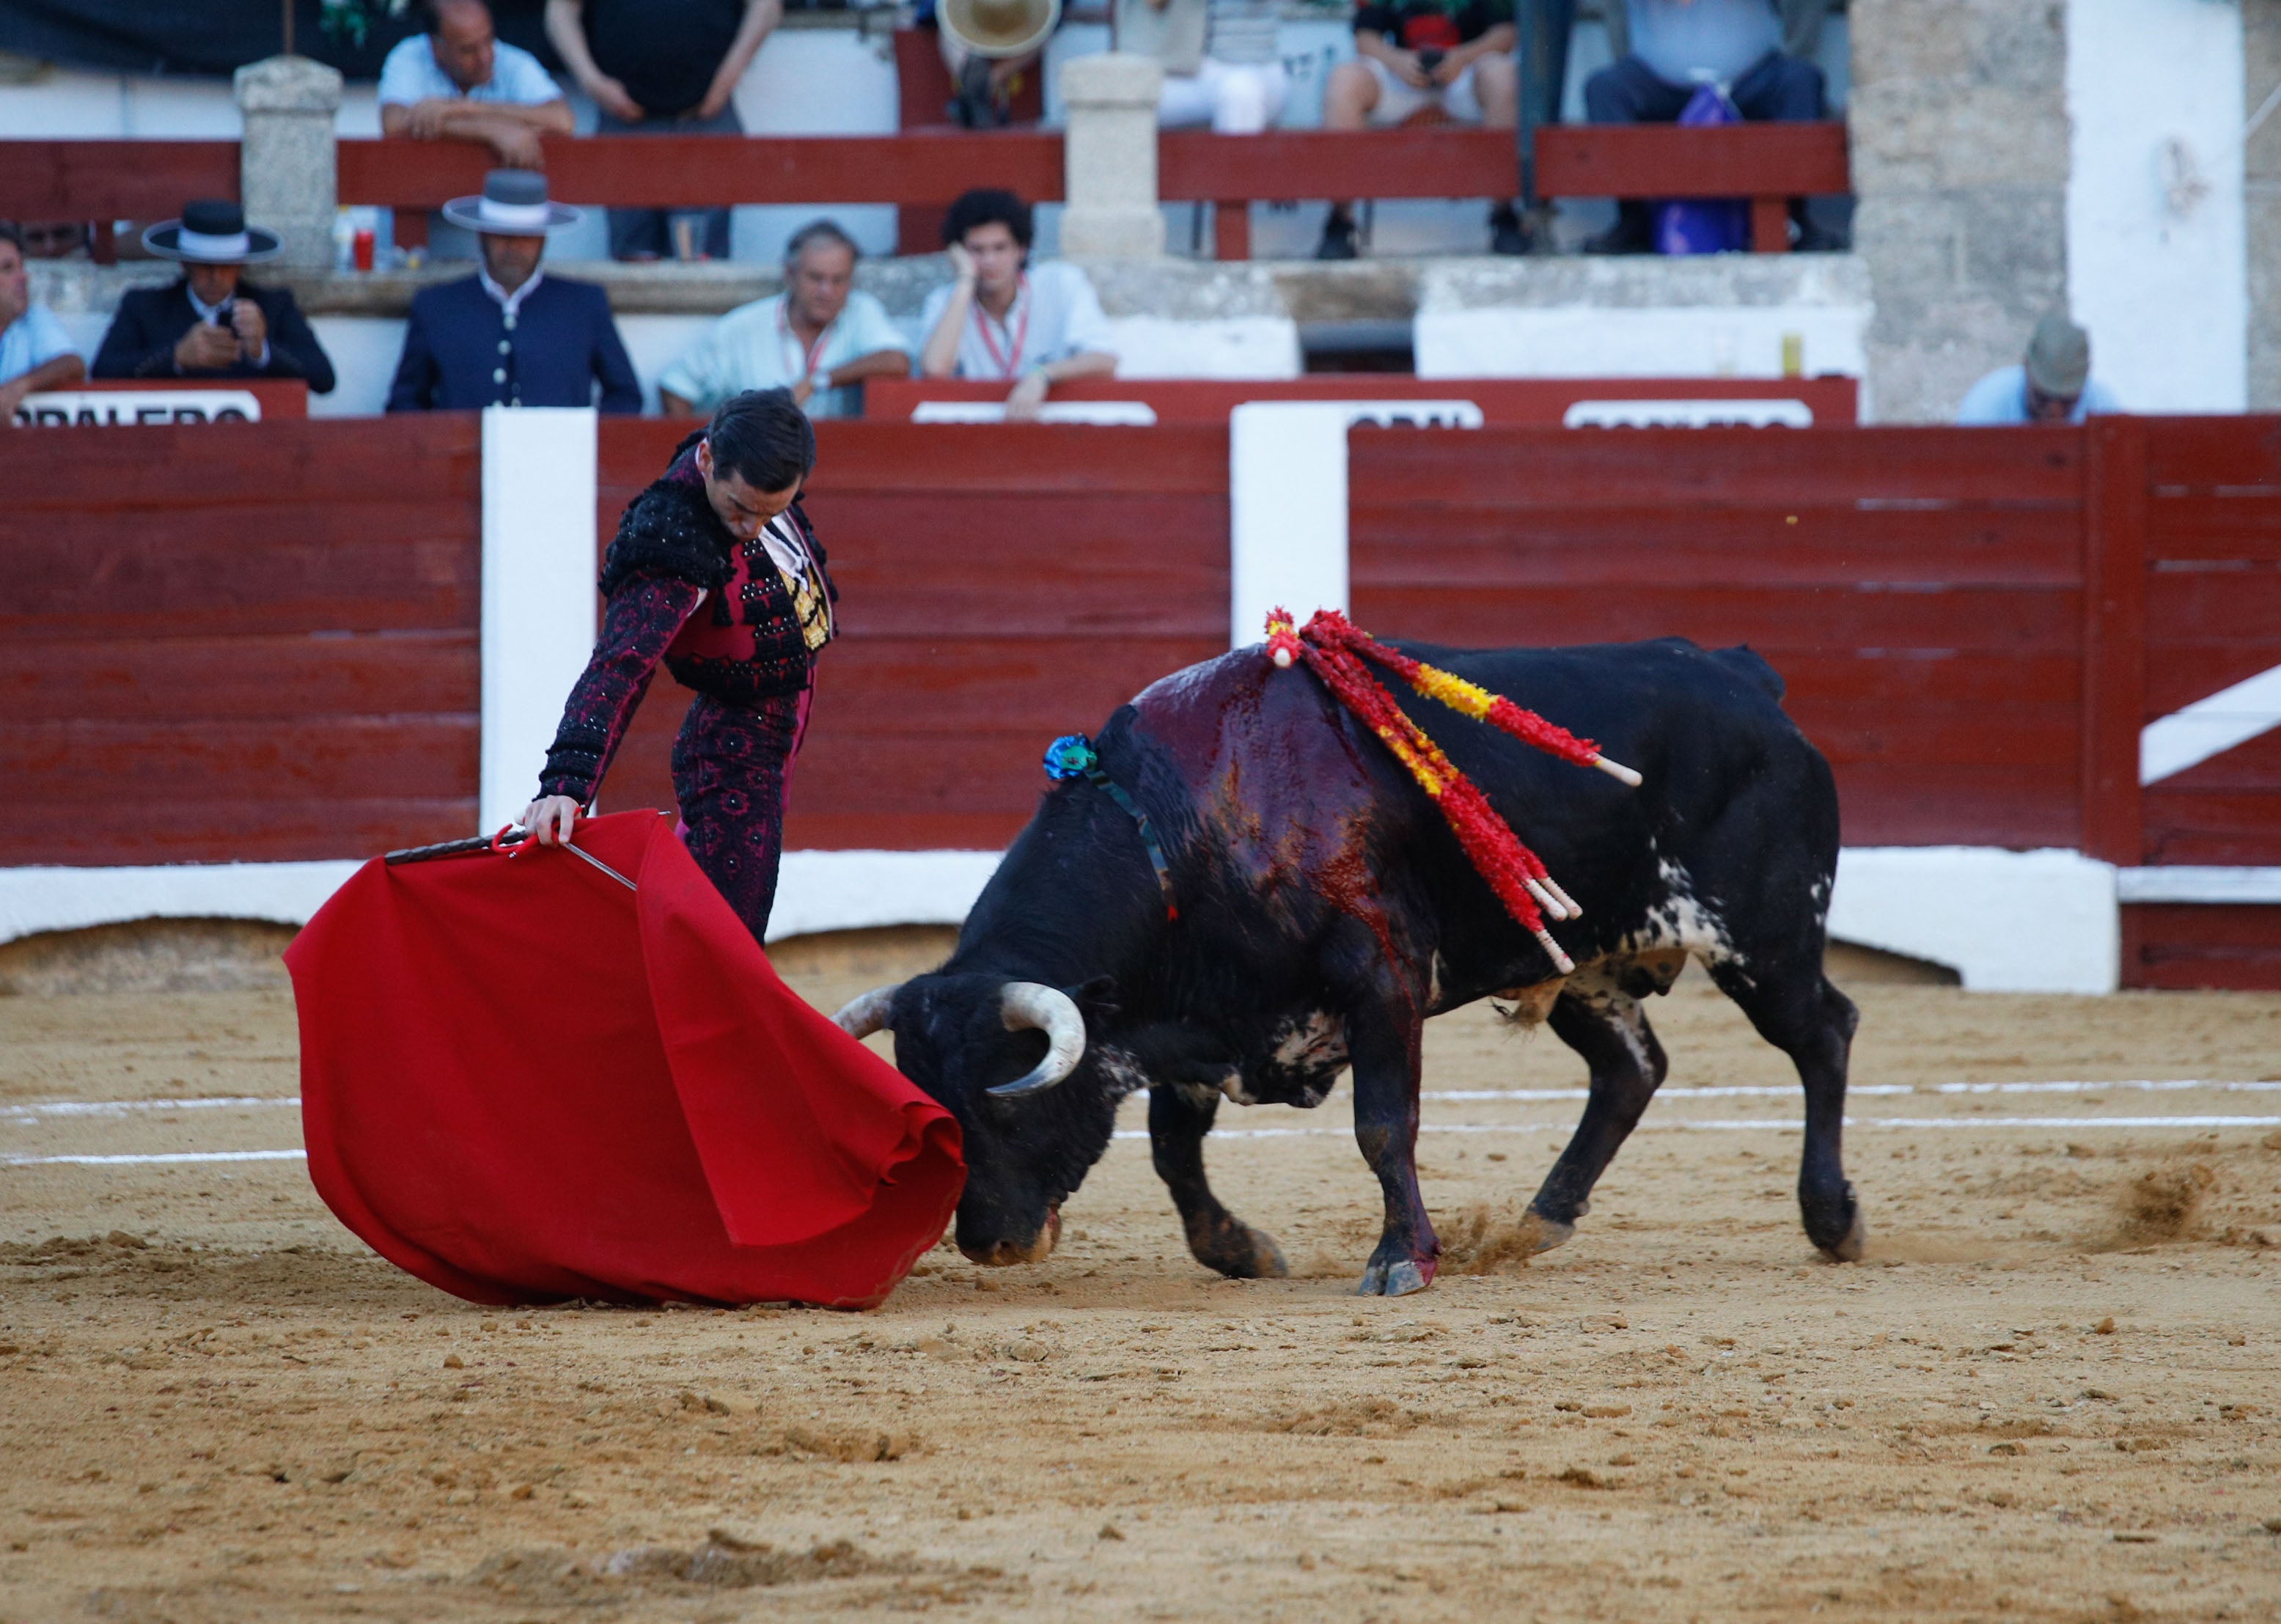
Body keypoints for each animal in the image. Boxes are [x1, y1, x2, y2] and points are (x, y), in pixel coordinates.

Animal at [830, 633, 1861, 1296]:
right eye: (932, 1102)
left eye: (1008, 1100)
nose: (988, 1243)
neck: (1182, 824)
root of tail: (1744, 677)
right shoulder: (1194, 1019)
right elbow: (1172, 1148)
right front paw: (1238, 1250)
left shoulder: (1383, 981)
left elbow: (1380, 1125)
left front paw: (1402, 1258)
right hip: (1586, 962)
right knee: (1631, 1070)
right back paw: (1537, 1221)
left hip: (1765, 937)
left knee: (1823, 1032)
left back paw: (1833, 1220)